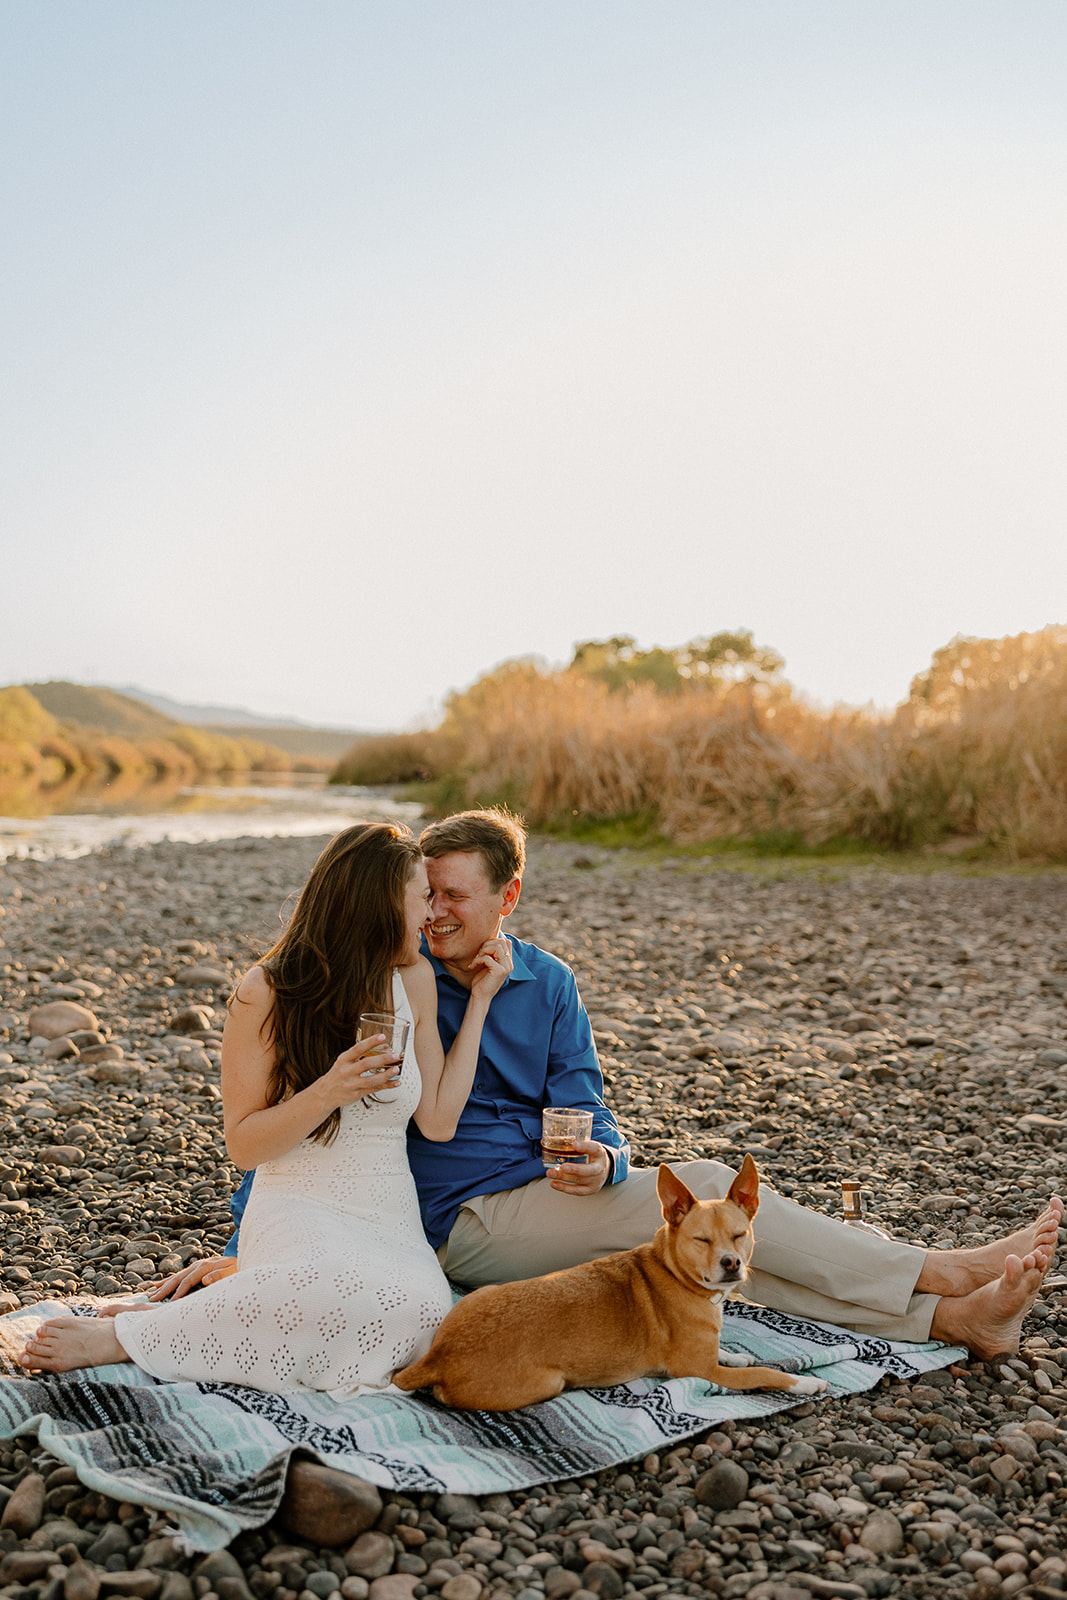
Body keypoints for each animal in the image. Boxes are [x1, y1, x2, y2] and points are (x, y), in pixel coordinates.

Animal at [395, 1158, 831, 1408]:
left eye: (740, 1235)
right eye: (702, 1240)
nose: (732, 1263)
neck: (674, 1271)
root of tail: (438, 1357)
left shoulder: (707, 1358)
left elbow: (732, 1354)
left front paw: (738, 1354)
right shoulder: (701, 1372)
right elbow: (766, 1375)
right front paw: (805, 1382)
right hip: (549, 1381)